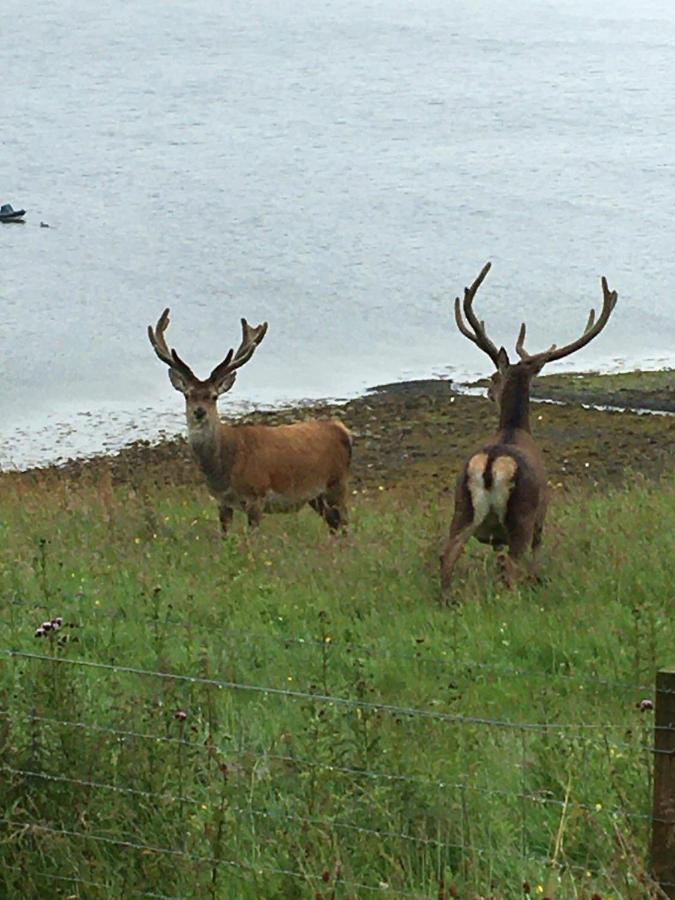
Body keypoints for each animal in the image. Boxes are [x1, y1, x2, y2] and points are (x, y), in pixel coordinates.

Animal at [147, 312, 348, 536]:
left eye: (214, 396)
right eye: (187, 395)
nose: (199, 411)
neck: (223, 472)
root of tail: (341, 428)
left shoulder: (256, 495)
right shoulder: (222, 502)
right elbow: (224, 536)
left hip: (336, 483)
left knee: (345, 522)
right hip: (316, 495)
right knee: (334, 524)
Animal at [440, 262, 620, 596]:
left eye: (495, 377)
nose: (489, 390)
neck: (515, 429)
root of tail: (490, 465)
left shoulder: (495, 538)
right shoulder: (541, 515)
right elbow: (535, 559)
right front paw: (538, 582)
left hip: (461, 506)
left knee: (448, 553)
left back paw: (447, 599)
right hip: (521, 516)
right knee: (513, 565)